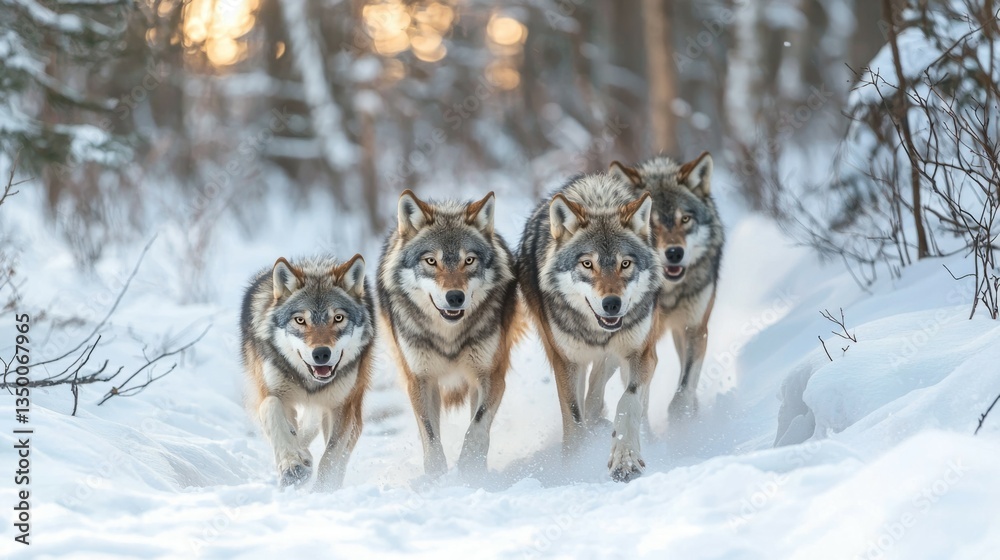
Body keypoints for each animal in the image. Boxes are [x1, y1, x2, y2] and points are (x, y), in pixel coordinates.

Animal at [240, 254, 375, 490]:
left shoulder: (342, 408)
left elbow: (331, 458)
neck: (311, 384)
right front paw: (292, 466)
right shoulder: (270, 394)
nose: (321, 354)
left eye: (338, 318)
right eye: (300, 320)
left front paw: (324, 489)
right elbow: (271, 409)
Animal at [377, 189, 520, 477]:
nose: (455, 297)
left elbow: (476, 427)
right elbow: (430, 435)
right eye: (431, 261)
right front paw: (436, 477)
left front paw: (469, 470)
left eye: (469, 260)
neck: (449, 336)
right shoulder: (420, 380)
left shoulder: (491, 376)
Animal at [518, 172, 661, 482]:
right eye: (587, 264)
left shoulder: (641, 353)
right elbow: (573, 417)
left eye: (625, 264)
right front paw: (575, 465)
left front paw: (625, 459)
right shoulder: (565, 361)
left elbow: (628, 402)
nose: (612, 304)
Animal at [586, 152, 724, 424]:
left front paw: (683, 425)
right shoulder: (634, 341)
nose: (674, 253)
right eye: (651, 224)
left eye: (685, 219)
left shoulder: (694, 328)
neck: (668, 293)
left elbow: (683, 389)